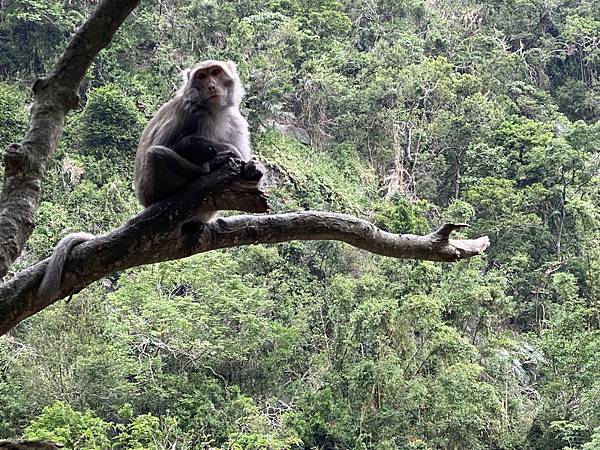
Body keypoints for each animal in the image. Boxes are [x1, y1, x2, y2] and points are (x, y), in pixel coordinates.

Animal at [37, 59, 262, 298]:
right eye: (201, 76)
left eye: (216, 72)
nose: (211, 85)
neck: (215, 111)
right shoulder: (189, 112)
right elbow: (175, 143)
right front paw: (223, 155)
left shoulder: (237, 121)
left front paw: (251, 169)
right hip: (154, 186)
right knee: (158, 153)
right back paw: (209, 168)